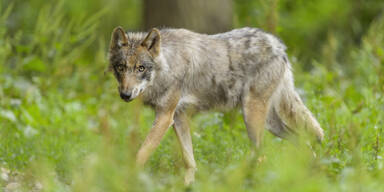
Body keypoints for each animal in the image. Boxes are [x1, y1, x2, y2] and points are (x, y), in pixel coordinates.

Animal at [107, 26, 324, 184]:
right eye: (121, 68)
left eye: (140, 68)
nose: (125, 94)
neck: (167, 66)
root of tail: (278, 46)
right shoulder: (179, 118)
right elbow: (190, 162)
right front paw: (187, 186)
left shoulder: (165, 117)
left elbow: (141, 154)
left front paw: (126, 179)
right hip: (271, 124)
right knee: (304, 144)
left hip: (252, 118)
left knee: (262, 154)